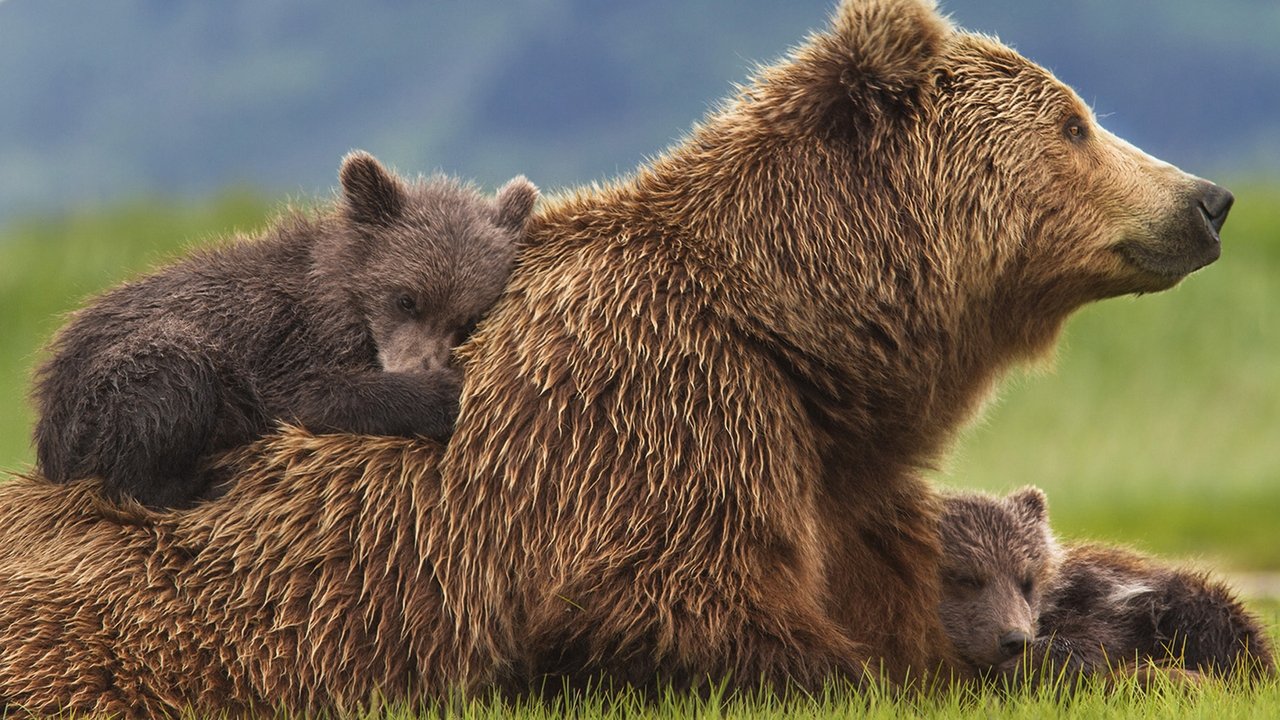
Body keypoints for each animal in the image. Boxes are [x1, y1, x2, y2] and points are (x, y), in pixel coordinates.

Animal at [31, 151, 537, 508]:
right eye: (407, 298)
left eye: (466, 319)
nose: (420, 366)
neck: (342, 296)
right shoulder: (285, 339)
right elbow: (311, 395)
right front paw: (443, 394)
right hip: (110, 388)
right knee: (169, 380)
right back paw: (204, 481)